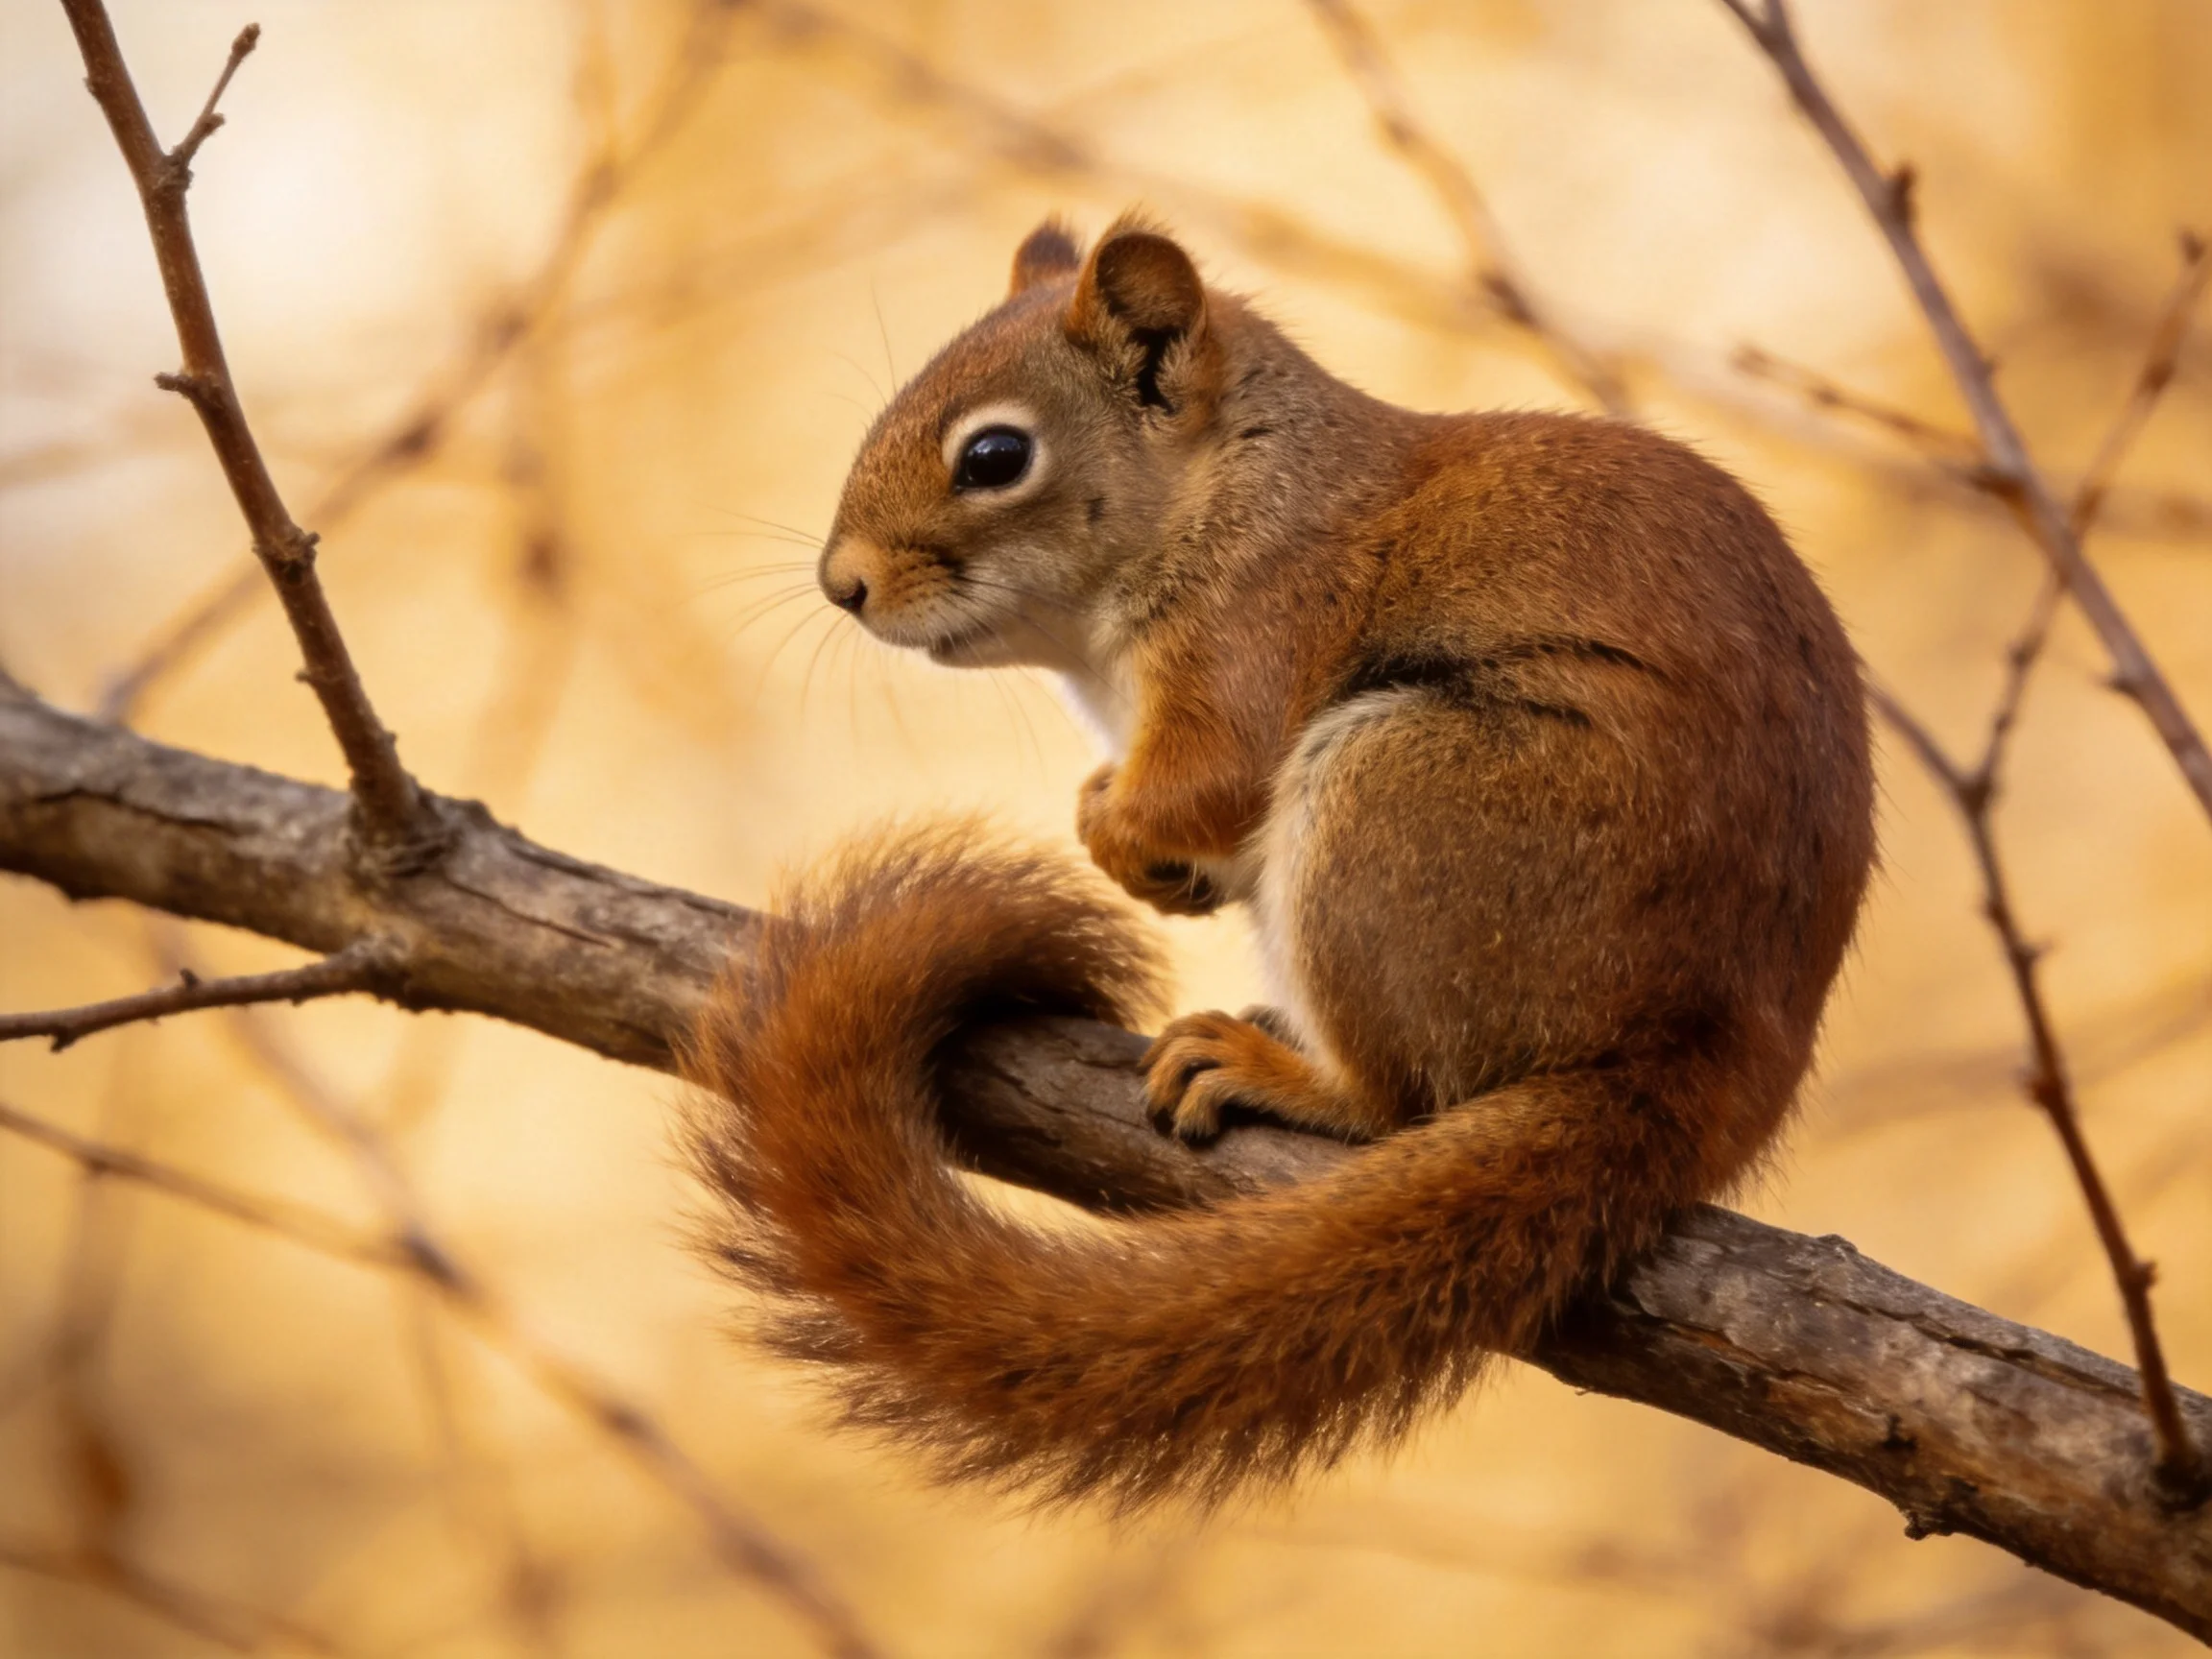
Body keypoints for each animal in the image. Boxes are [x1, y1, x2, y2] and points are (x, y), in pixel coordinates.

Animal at [684, 215, 1876, 1511]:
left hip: (1398, 805)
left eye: (995, 455)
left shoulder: (1256, 629)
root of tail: (1698, 1057)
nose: (841, 584)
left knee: (1402, 1096)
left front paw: (1116, 831)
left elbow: (1209, 780)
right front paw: (1136, 850)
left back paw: (1279, 1070)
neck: (1228, 490)